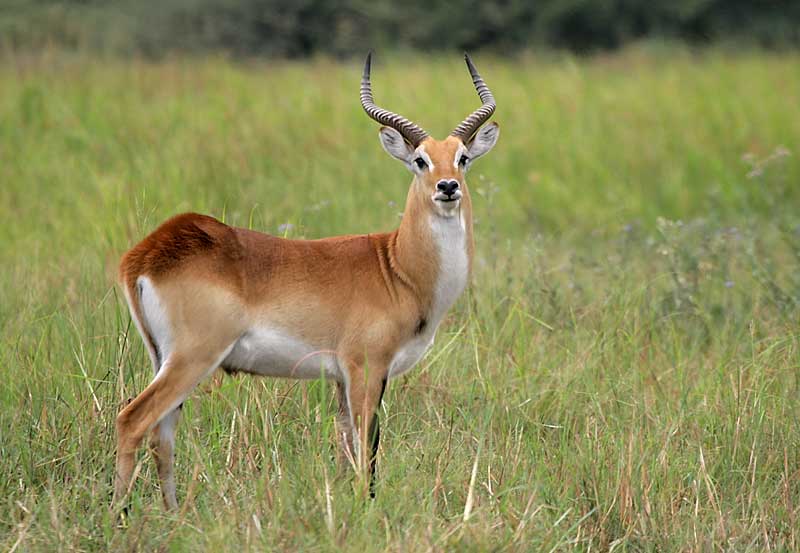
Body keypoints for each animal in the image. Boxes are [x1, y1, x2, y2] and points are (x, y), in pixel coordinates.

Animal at [115, 52, 496, 508]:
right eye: (420, 159)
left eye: (463, 157)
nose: (448, 186)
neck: (397, 268)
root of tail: (148, 252)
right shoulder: (366, 368)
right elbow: (367, 450)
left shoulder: (342, 379)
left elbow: (349, 448)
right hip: (192, 358)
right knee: (132, 420)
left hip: (164, 359)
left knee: (163, 435)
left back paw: (174, 515)